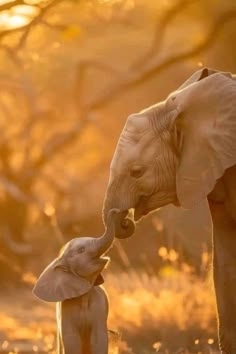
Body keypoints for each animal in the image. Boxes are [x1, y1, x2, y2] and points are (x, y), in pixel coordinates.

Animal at [33, 209, 120, 354]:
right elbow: (71, 339)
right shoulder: (65, 310)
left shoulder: (99, 308)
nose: (116, 211)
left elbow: (99, 338)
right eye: (81, 250)